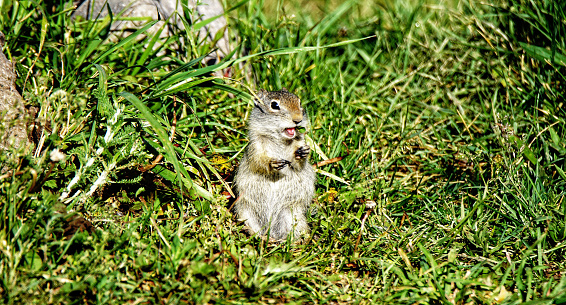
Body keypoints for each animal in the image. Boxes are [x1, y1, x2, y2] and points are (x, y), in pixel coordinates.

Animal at [233, 87, 318, 240]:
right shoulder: (256, 148)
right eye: (274, 105)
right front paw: (272, 163)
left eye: (299, 102)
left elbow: (298, 164)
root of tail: (271, 231)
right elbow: (259, 162)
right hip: (246, 213)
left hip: (292, 216)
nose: (298, 119)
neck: (280, 139)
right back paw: (260, 237)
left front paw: (302, 152)